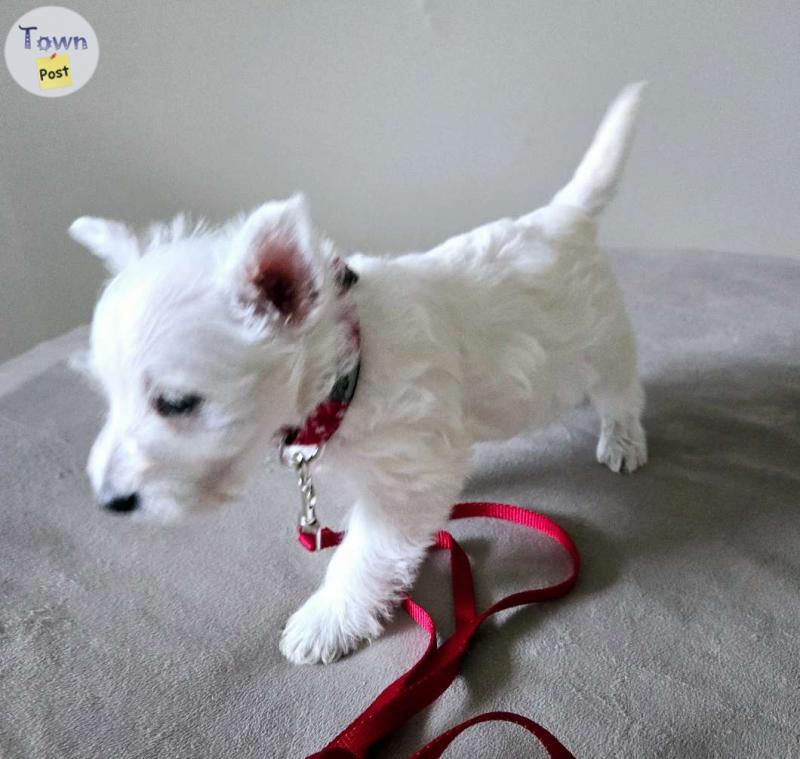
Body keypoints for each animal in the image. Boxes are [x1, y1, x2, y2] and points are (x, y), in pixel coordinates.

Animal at [72, 84, 648, 664]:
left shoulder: (406, 479)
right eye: (110, 397)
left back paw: (623, 441)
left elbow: (365, 556)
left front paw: (328, 620)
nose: (109, 502)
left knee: (623, 390)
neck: (351, 365)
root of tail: (566, 214)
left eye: (176, 402)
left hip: (603, 344)